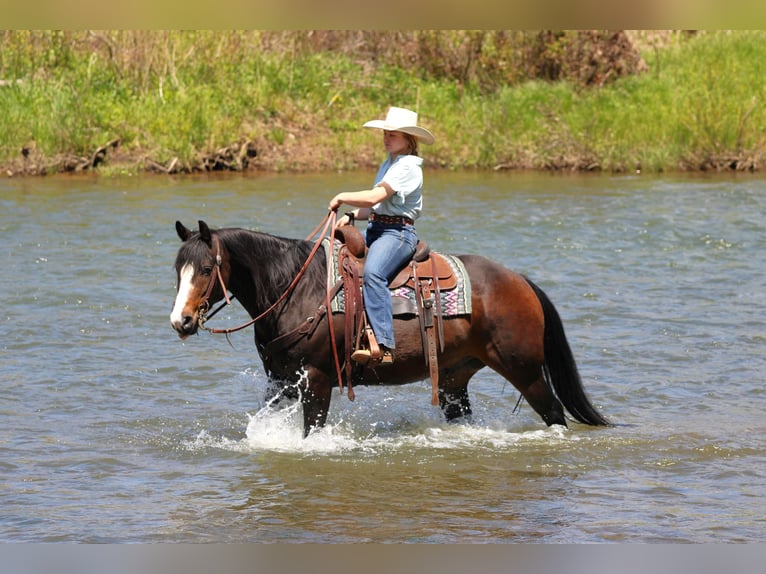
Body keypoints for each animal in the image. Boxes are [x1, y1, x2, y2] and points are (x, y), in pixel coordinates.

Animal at [170, 219, 609, 437]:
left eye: (206, 269)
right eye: (178, 269)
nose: (181, 321)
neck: (295, 288)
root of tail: (520, 281)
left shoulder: (316, 378)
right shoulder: (281, 379)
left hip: (525, 370)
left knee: (554, 413)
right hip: (455, 380)